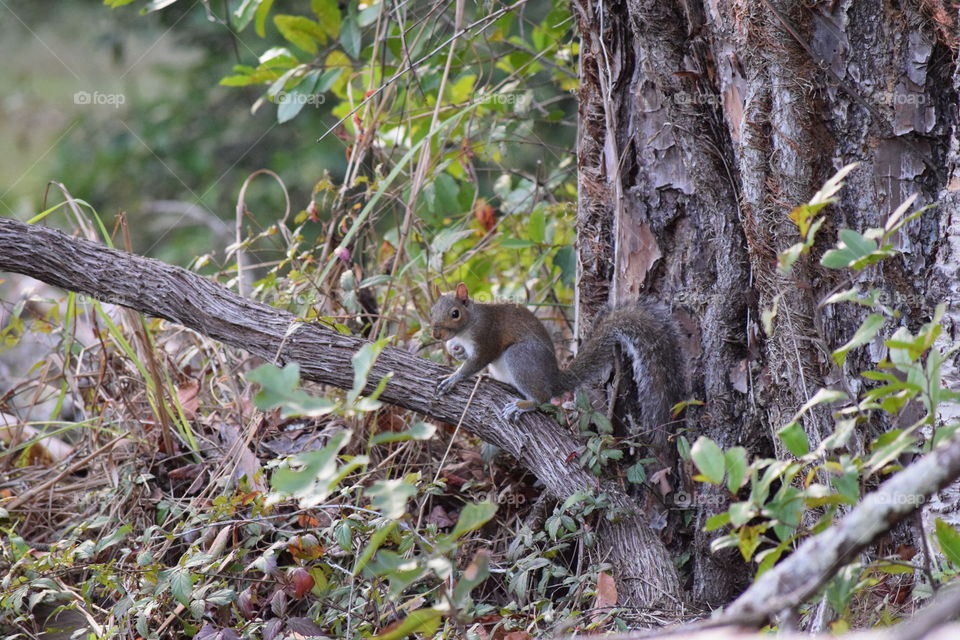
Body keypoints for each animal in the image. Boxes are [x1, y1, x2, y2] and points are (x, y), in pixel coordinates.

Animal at [430, 283, 684, 431]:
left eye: (455, 313)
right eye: (432, 310)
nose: (435, 334)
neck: (467, 326)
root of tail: (553, 378)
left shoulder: (486, 337)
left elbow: (475, 362)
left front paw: (453, 378)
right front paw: (455, 350)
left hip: (520, 357)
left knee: (542, 397)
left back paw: (524, 404)